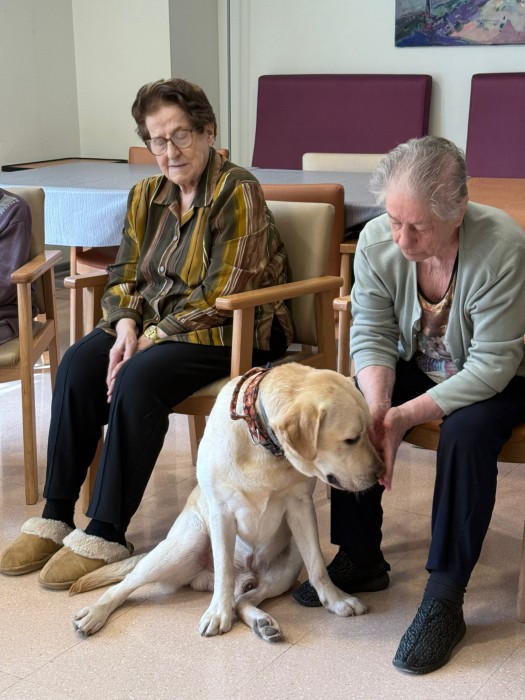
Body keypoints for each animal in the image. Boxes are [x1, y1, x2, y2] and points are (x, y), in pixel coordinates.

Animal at [71, 363, 385, 641]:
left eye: (369, 431)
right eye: (351, 439)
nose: (380, 473)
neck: (263, 446)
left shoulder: (301, 505)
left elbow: (318, 565)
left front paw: (336, 601)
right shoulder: (221, 512)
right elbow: (223, 572)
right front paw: (217, 614)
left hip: (288, 563)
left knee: (243, 600)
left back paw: (263, 623)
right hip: (185, 544)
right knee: (125, 586)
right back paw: (95, 613)